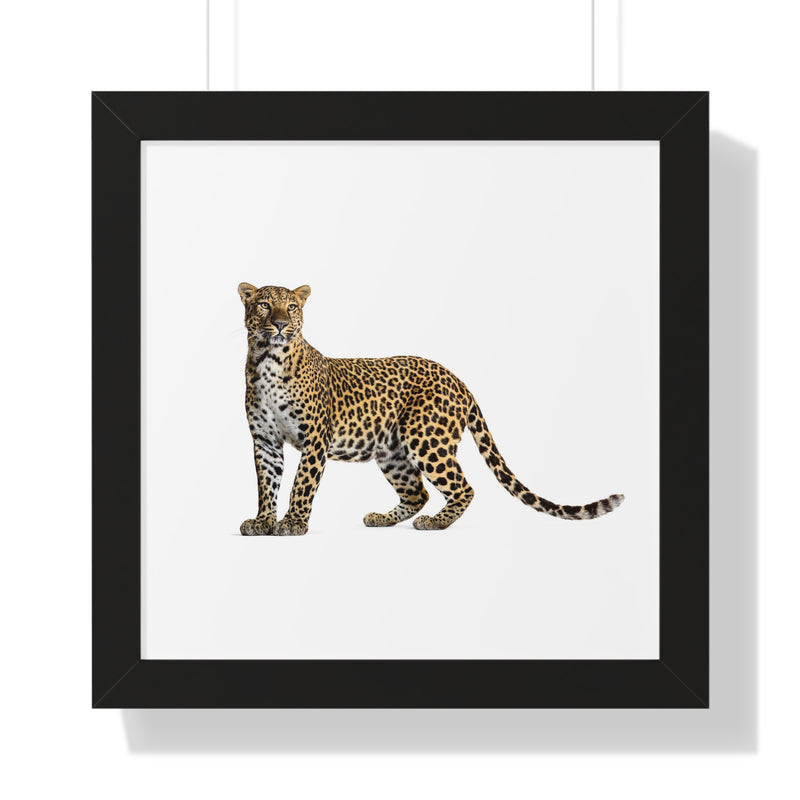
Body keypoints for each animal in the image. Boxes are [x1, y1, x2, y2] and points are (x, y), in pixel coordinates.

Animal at [238, 282, 624, 536]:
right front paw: (263, 521)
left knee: (463, 488)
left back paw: (436, 523)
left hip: (426, 438)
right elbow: (267, 483)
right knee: (418, 492)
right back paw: (382, 518)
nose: (280, 324)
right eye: (264, 305)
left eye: (291, 307)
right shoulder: (265, 440)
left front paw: (293, 523)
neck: (268, 360)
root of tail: (458, 379)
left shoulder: (316, 437)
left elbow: (302, 482)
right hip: (393, 450)